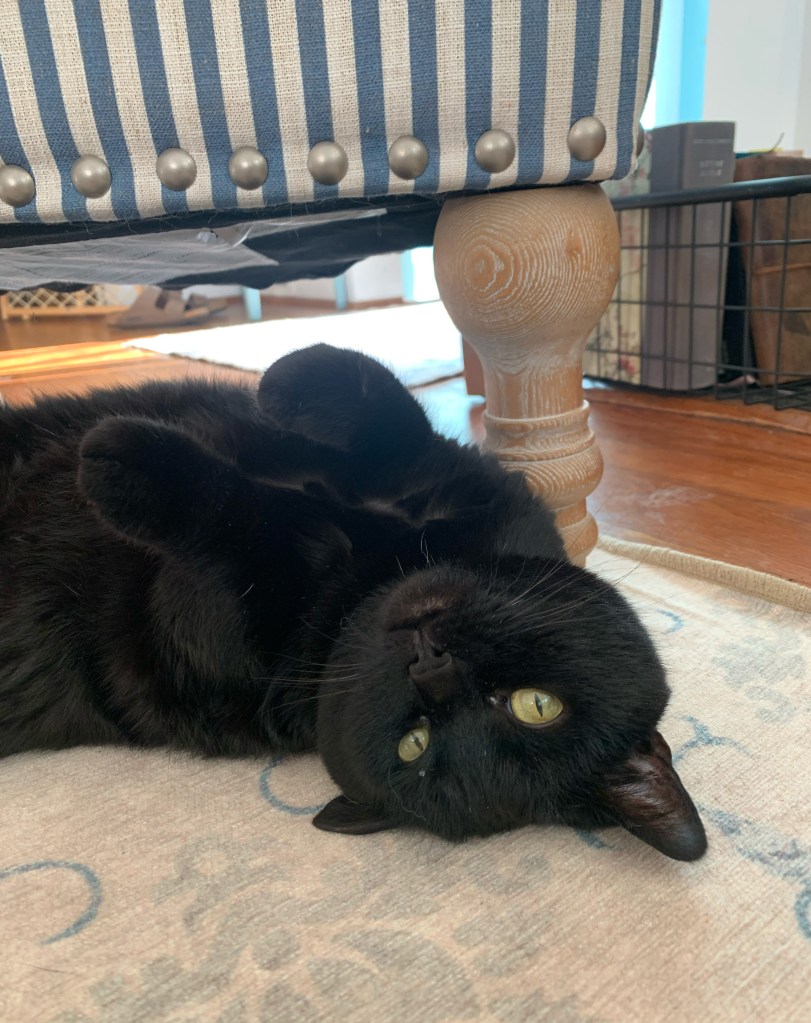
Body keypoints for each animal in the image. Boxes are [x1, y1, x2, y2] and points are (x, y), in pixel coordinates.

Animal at [0, 344, 706, 861]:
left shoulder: (207, 613)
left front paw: (127, 462)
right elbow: (391, 418)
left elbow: (246, 527)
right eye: (541, 705)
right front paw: (293, 379)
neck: (369, 575)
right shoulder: (464, 483)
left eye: (414, 745)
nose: (431, 665)